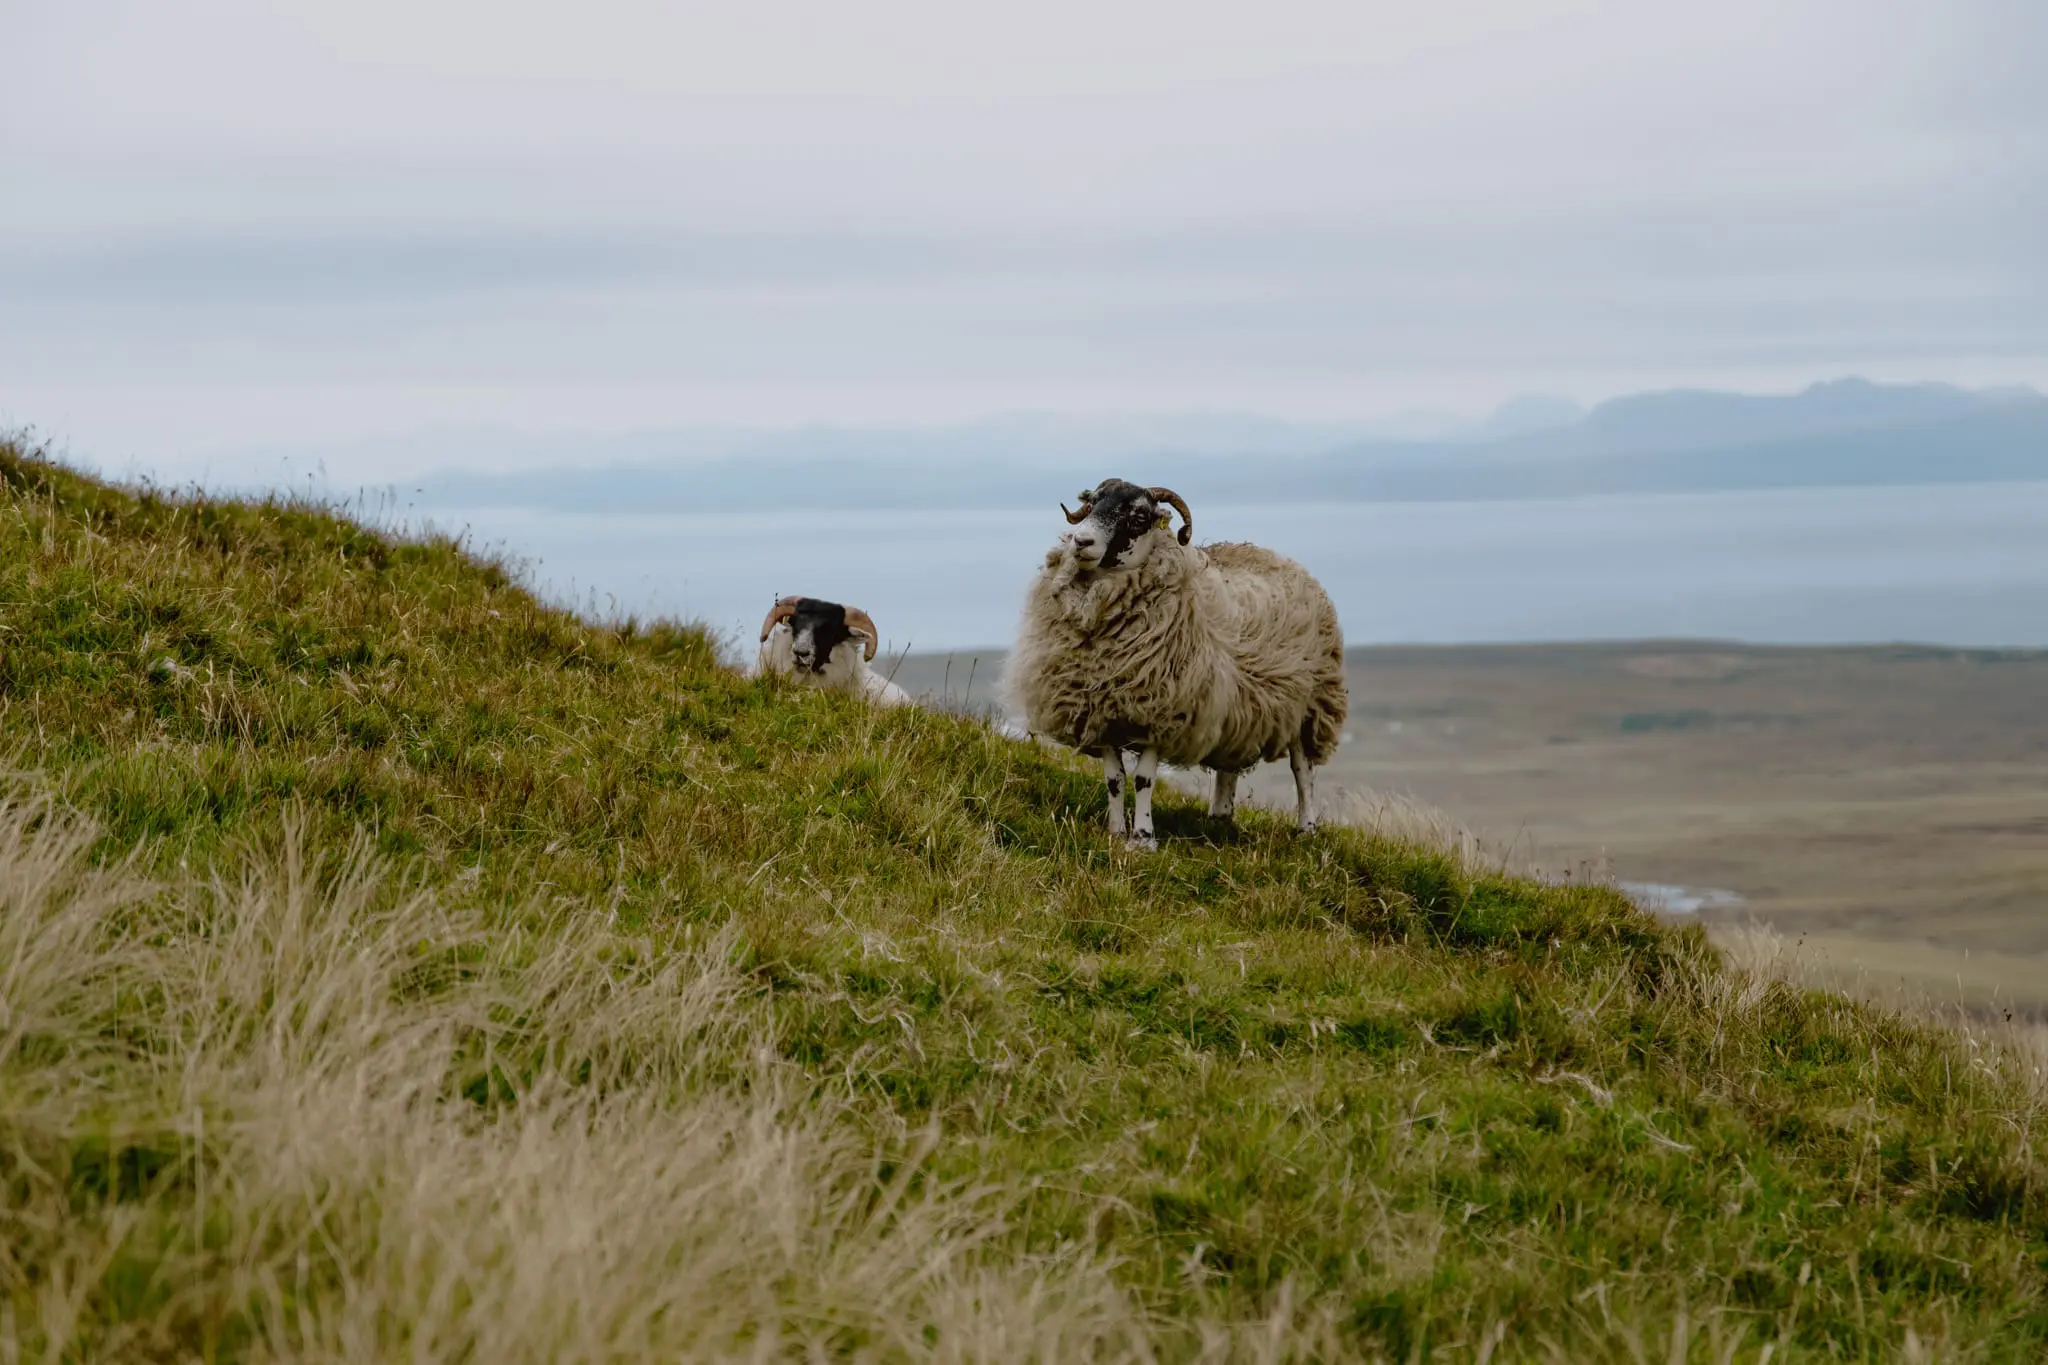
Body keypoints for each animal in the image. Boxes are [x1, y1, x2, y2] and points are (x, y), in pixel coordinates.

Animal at [1001, 478, 1347, 850]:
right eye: (1093, 503)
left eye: (1139, 517)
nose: (1081, 542)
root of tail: (1280, 558)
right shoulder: (1100, 711)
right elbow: (1114, 779)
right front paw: (1115, 832)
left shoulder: (1162, 714)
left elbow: (1143, 780)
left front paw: (1143, 839)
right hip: (1238, 709)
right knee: (1229, 767)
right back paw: (1219, 818)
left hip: (1309, 707)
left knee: (1302, 771)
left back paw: (1306, 828)